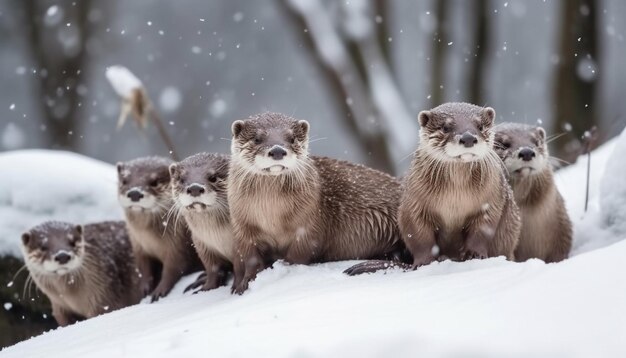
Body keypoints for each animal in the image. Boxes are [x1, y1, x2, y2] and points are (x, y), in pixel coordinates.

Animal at [114, 158, 197, 300]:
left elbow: (173, 268)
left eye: (154, 182)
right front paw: (144, 288)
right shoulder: (138, 247)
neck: (151, 241)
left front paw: (159, 291)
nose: (135, 193)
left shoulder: (178, 245)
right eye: (124, 181)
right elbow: (144, 268)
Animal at [168, 152, 232, 292]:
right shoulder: (203, 247)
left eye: (213, 177)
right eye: (181, 179)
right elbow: (213, 270)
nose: (195, 188)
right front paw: (207, 288)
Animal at [227, 112, 402, 294]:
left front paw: (283, 268)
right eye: (257, 139)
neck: (272, 217)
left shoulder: (310, 223)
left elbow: (297, 255)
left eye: (292, 138)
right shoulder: (243, 226)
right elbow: (250, 257)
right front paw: (243, 283)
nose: (277, 150)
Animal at [344, 102, 520, 276]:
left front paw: (475, 255)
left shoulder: (490, 202)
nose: (468, 137)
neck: (456, 199)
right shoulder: (413, 204)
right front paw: (424, 262)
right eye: (446, 127)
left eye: (480, 126)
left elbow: (481, 232)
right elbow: (419, 236)